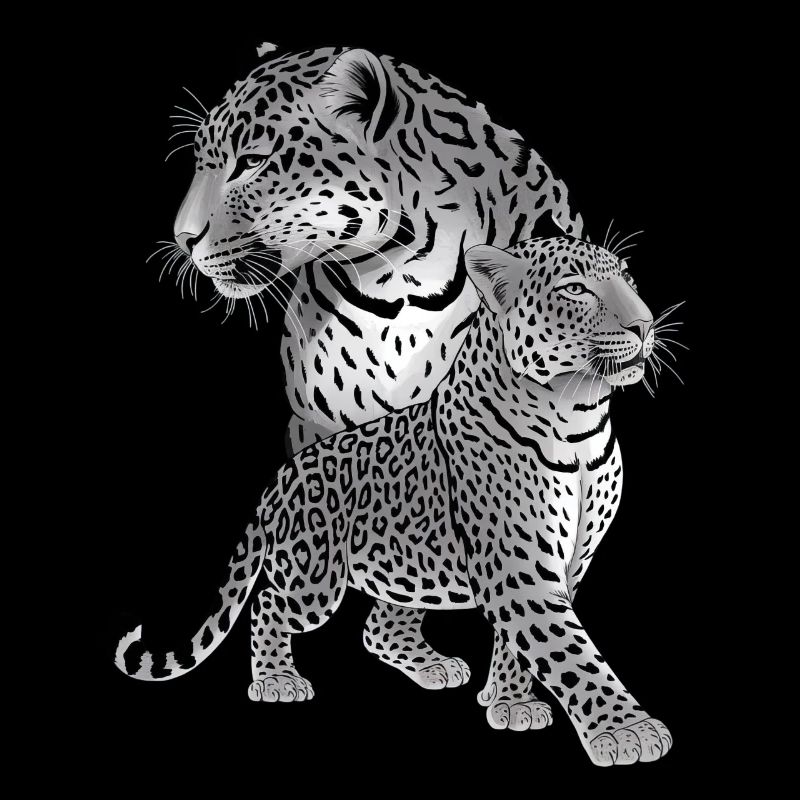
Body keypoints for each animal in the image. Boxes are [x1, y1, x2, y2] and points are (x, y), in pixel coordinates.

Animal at [119, 230, 673, 767]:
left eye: (628, 278)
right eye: (575, 289)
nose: (646, 325)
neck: (578, 421)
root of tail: (284, 474)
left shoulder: (563, 564)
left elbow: (526, 643)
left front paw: (509, 703)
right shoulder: (518, 566)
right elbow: (569, 653)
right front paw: (627, 730)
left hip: (409, 567)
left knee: (378, 626)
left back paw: (432, 666)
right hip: (314, 577)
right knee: (269, 604)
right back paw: (276, 680)